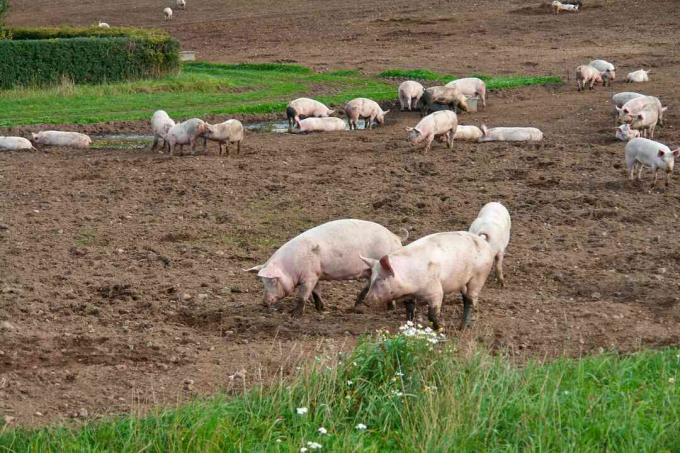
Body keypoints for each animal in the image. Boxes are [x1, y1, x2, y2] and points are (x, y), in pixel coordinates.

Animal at [243, 217, 406, 316]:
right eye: (262, 282)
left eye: (273, 280)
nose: (264, 303)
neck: (290, 266)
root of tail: (395, 236)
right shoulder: (316, 274)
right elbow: (316, 292)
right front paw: (321, 309)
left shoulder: (309, 276)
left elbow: (303, 295)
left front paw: (294, 315)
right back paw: (357, 306)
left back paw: (389, 310)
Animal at [362, 231, 494, 330]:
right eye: (371, 277)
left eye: (381, 279)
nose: (366, 301)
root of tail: (484, 241)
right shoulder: (409, 296)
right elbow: (409, 310)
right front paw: (408, 326)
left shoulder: (436, 291)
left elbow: (432, 314)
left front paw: (440, 329)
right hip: (463, 281)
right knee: (465, 298)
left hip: (479, 275)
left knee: (471, 300)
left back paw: (463, 328)